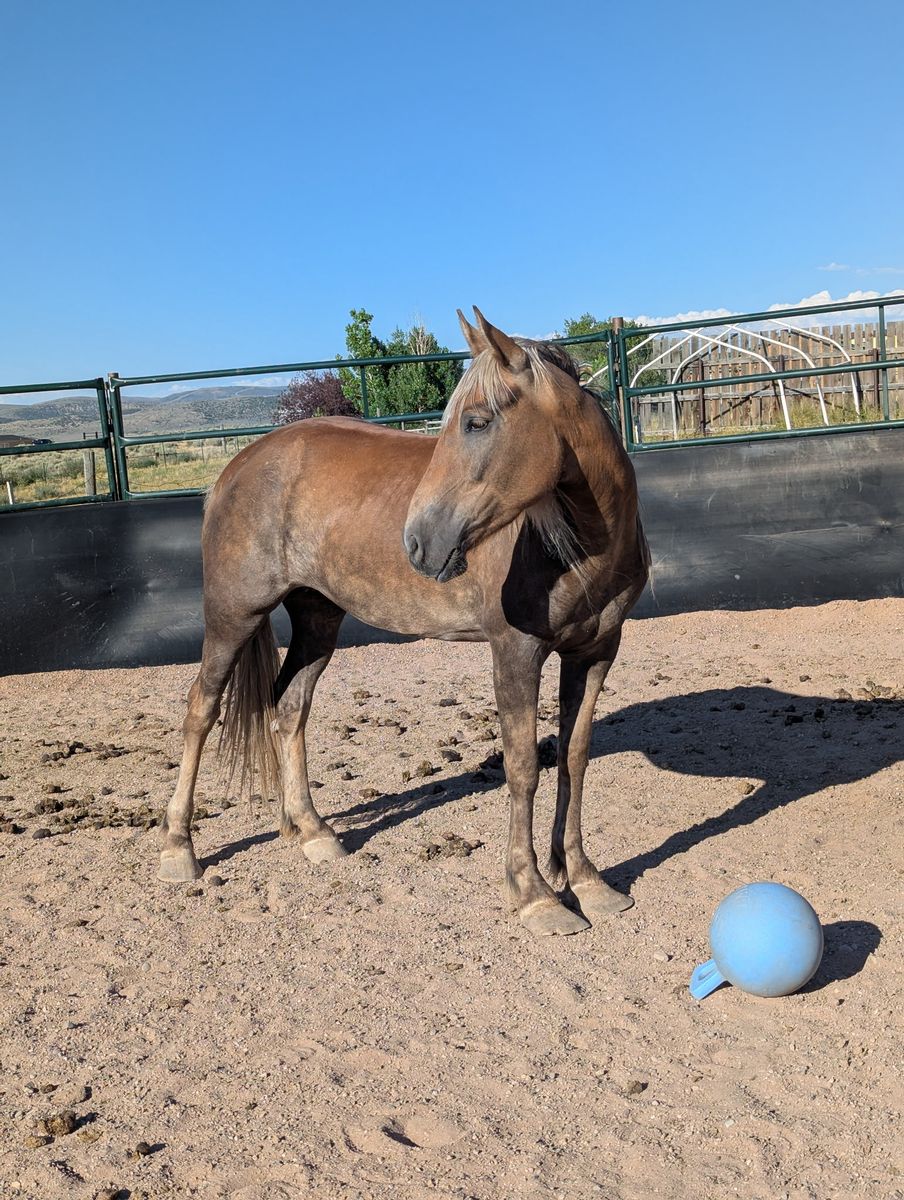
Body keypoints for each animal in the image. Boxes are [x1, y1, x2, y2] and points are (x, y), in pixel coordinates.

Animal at [159, 309, 649, 936]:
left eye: (476, 422)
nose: (417, 542)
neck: (582, 547)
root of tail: (236, 466)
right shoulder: (515, 653)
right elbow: (523, 766)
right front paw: (534, 893)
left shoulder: (596, 651)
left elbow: (574, 757)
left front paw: (585, 879)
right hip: (233, 615)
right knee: (200, 710)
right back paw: (179, 848)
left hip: (318, 619)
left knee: (289, 710)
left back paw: (311, 832)